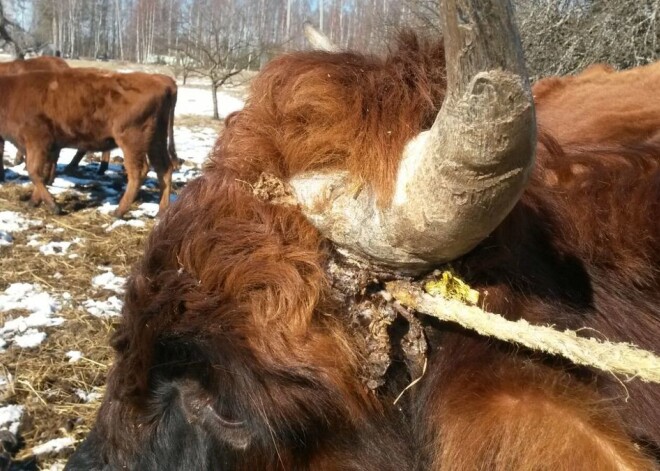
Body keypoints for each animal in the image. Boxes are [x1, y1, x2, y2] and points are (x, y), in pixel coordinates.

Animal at [0, 67, 175, 217]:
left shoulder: (37, 142)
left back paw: (119, 211)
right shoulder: (49, 147)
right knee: (164, 169)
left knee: (139, 172)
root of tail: (161, 81)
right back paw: (162, 212)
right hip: (156, 141)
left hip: (132, 141)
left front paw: (53, 206)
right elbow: (43, 173)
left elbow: (34, 172)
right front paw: (34, 201)